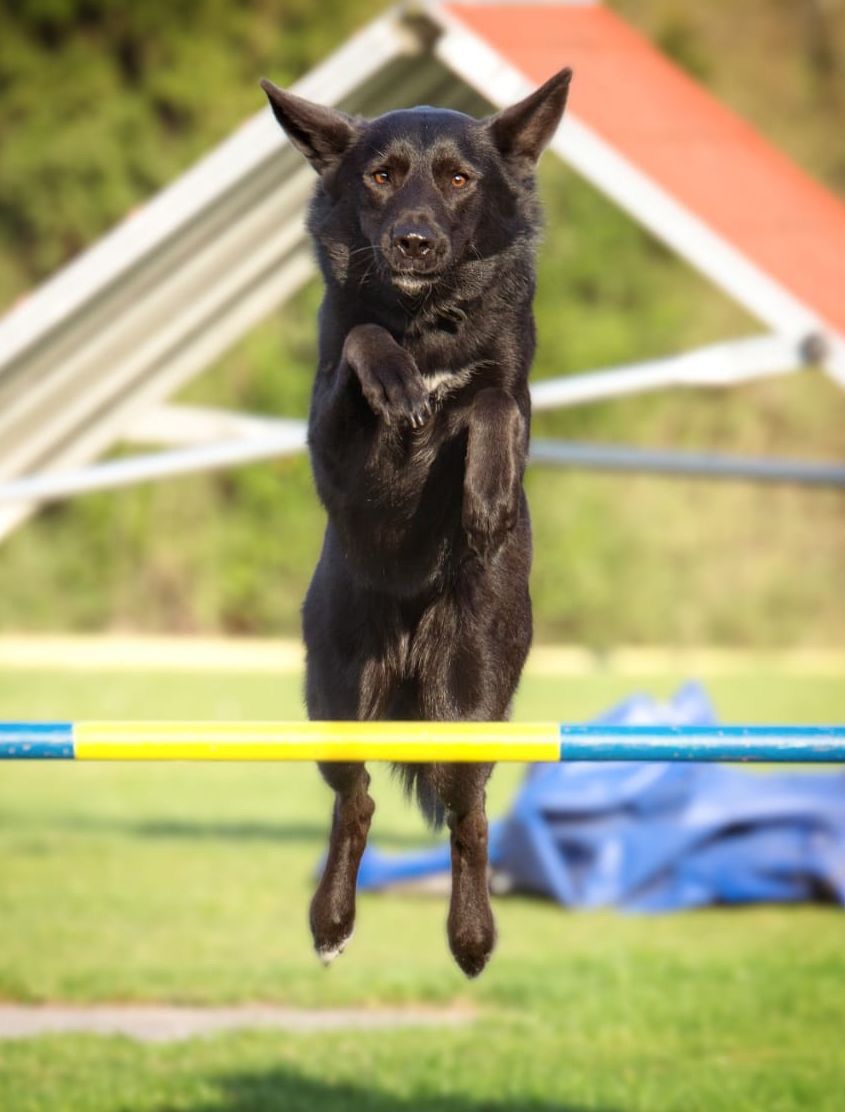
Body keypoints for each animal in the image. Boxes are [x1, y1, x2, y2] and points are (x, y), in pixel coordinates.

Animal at [261, 67, 571, 977]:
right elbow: (363, 338)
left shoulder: (509, 390)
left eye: (458, 179)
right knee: (355, 803)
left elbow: (493, 398)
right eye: (381, 175)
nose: (413, 242)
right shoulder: (333, 447)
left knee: (470, 818)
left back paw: (471, 937)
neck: (427, 324)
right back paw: (330, 922)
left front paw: (488, 494)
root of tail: (406, 657)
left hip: (468, 706)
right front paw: (397, 384)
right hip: (335, 702)